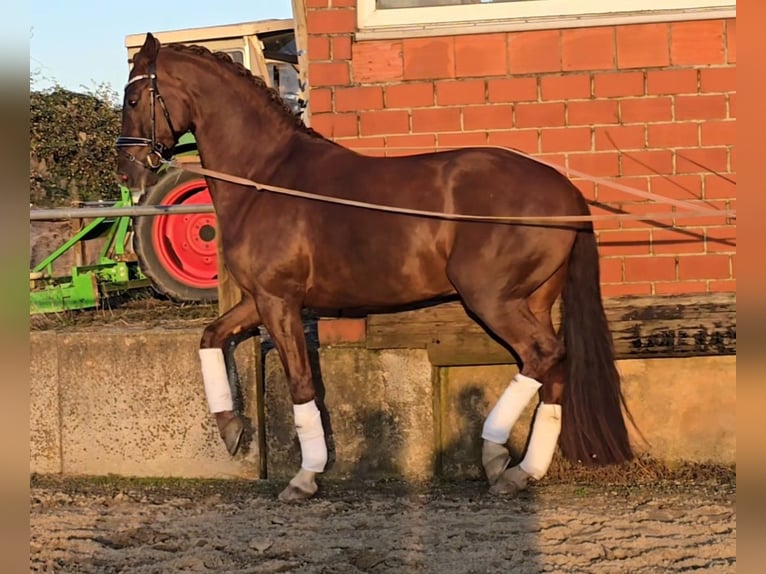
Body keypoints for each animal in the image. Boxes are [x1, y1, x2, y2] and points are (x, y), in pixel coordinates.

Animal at [117, 35, 632, 504]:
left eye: (134, 97)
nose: (128, 170)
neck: (267, 178)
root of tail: (564, 189)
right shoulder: (257, 300)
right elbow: (210, 336)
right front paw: (230, 426)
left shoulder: (279, 301)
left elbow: (301, 383)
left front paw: (305, 477)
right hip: (536, 298)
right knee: (553, 366)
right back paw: (522, 470)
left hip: (492, 299)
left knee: (543, 355)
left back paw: (494, 454)